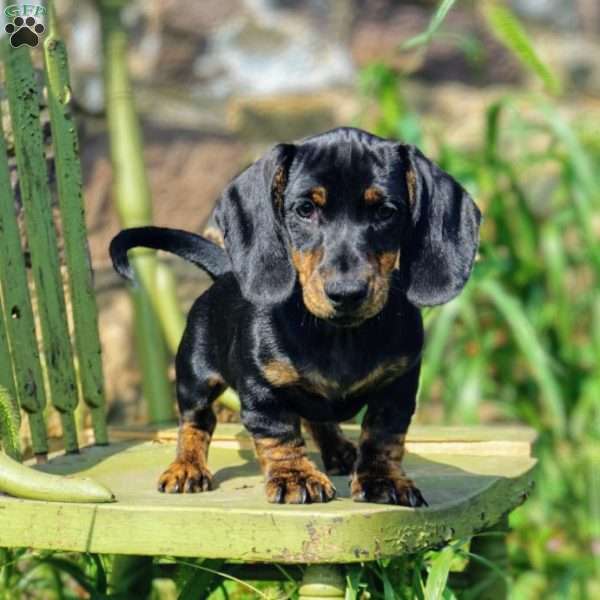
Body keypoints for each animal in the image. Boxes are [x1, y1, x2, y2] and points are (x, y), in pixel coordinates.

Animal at [110, 127, 480, 506]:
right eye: (305, 209)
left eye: (385, 211)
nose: (347, 293)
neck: (338, 336)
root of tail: (226, 270)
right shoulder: (263, 388)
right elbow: (280, 434)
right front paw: (295, 476)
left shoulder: (397, 385)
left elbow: (383, 436)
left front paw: (382, 479)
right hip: (194, 375)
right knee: (195, 422)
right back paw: (186, 467)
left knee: (318, 419)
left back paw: (339, 450)